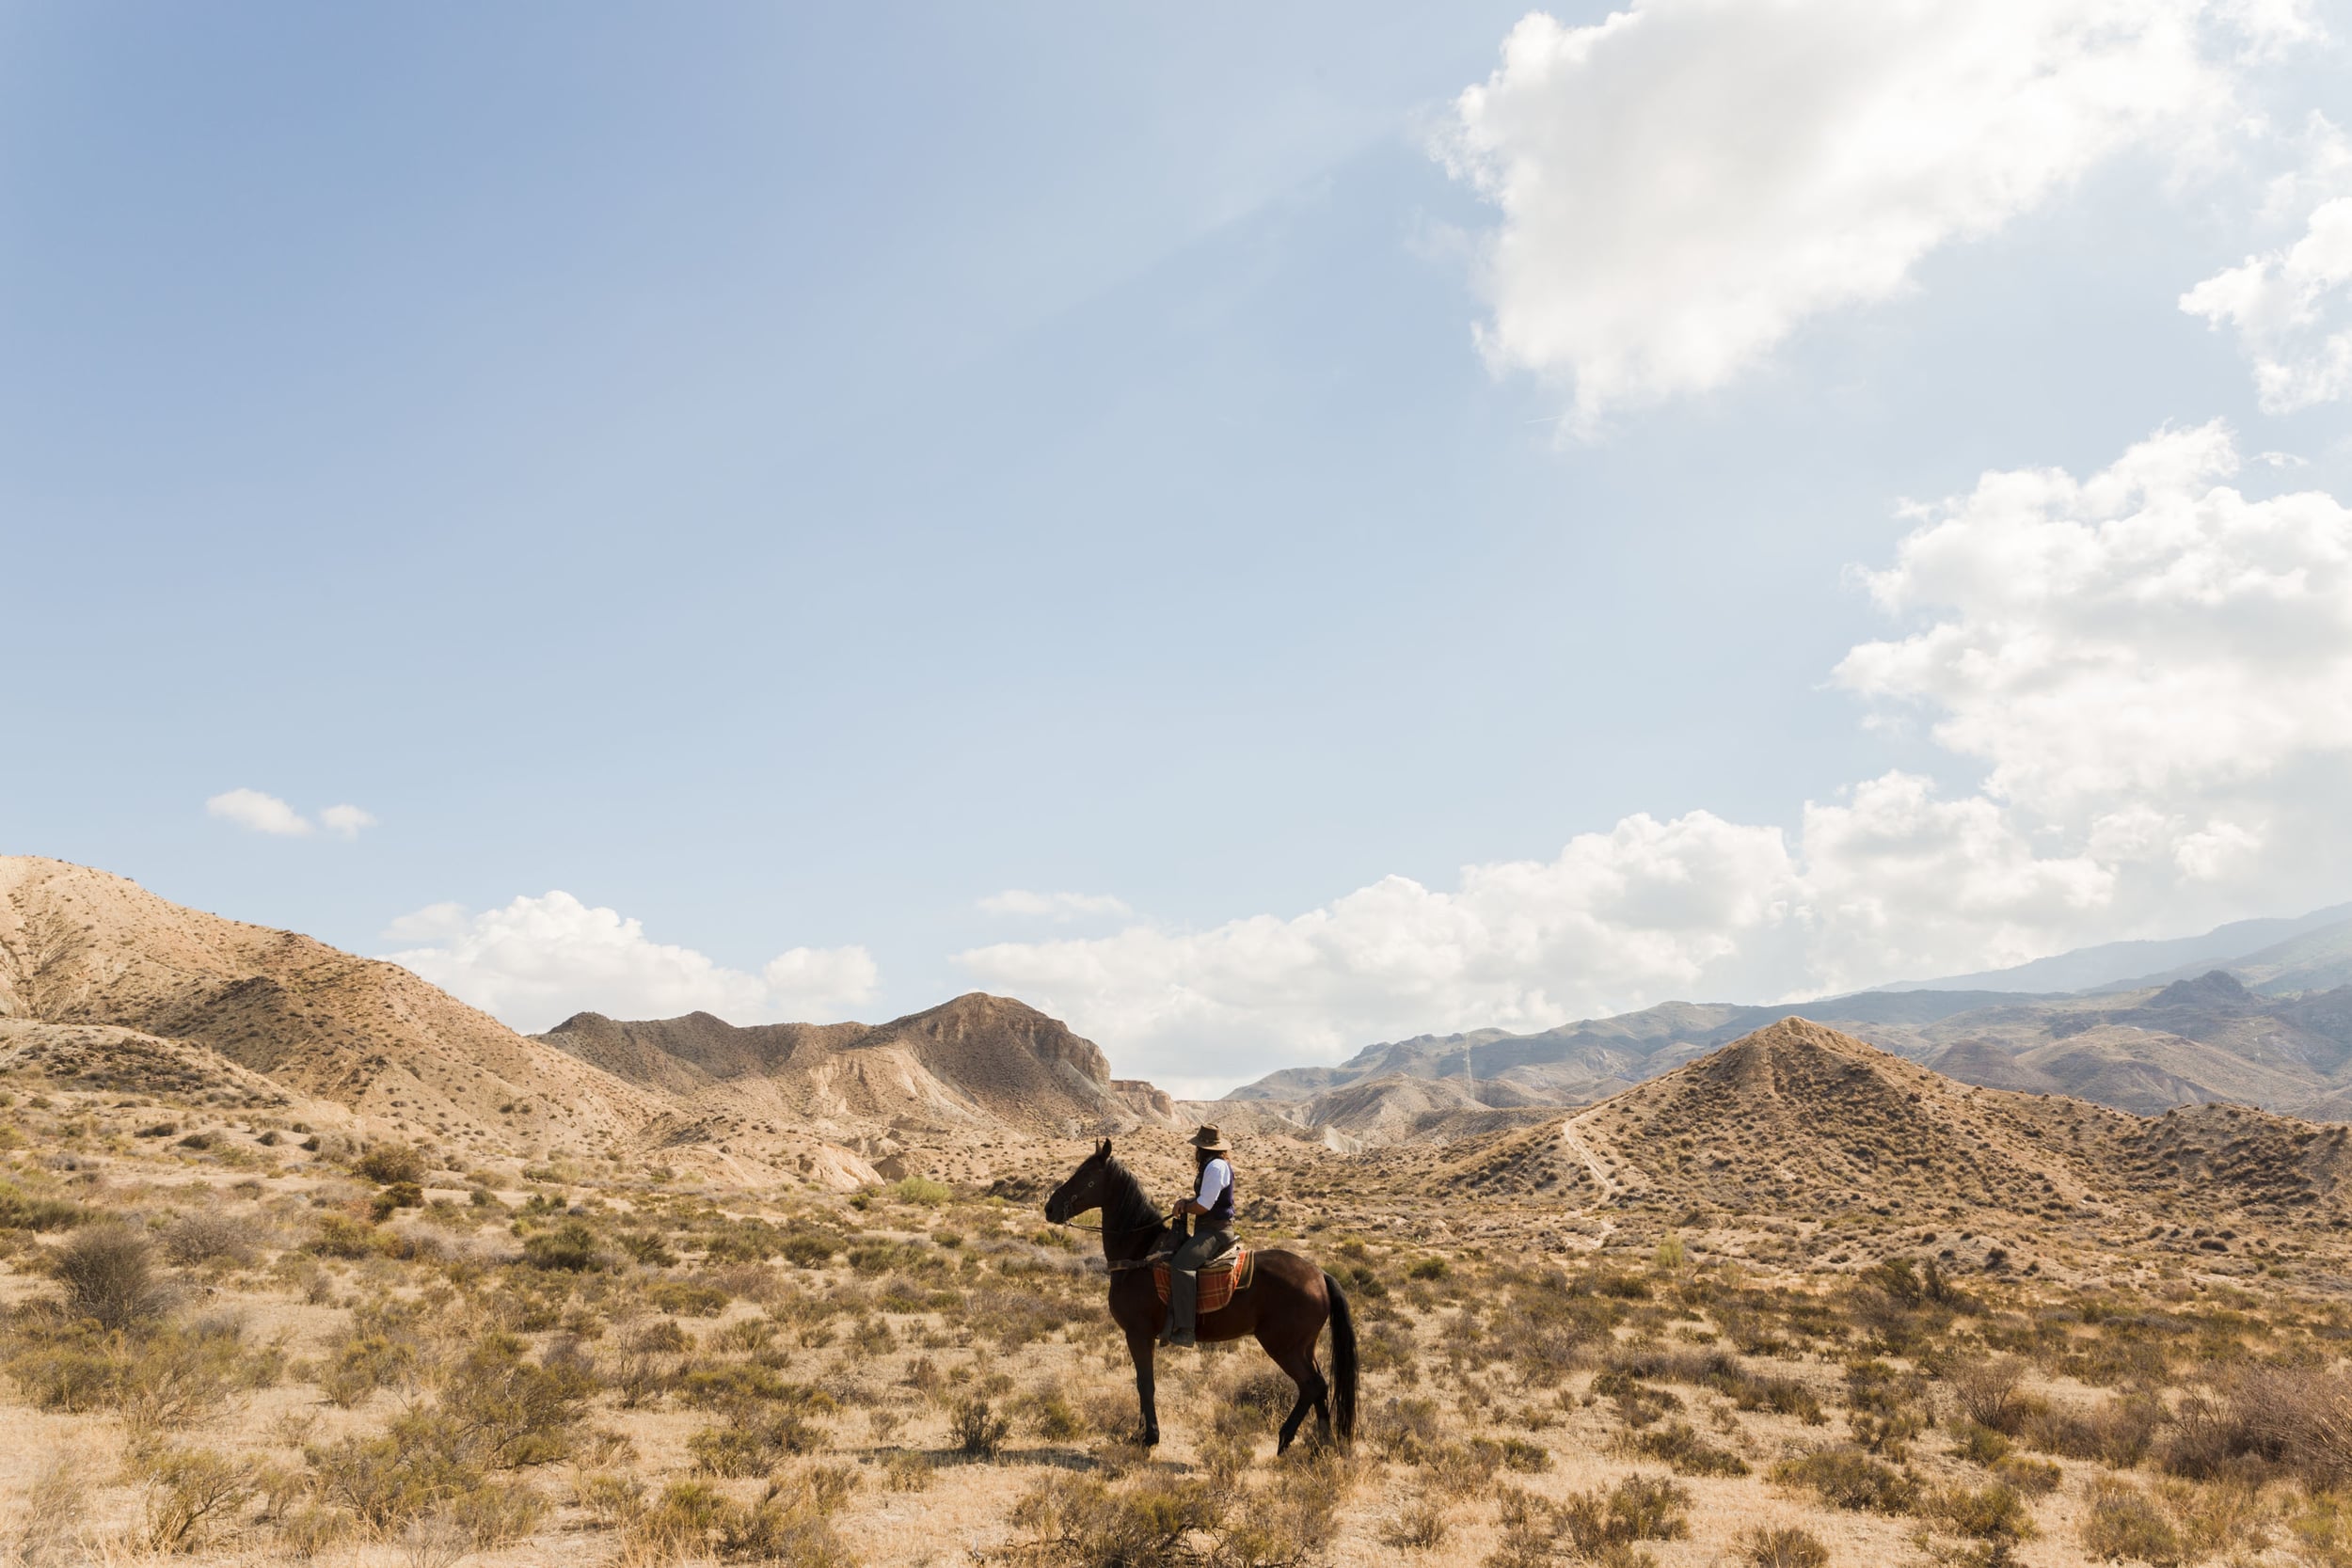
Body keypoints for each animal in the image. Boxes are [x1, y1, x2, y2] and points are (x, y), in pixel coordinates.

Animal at [1035, 1132, 1355, 1457]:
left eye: (1086, 1177)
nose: (1050, 1208)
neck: (1138, 1254)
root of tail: (1320, 1275)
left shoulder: (1138, 1333)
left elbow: (1145, 1383)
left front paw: (1150, 1437)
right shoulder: (1142, 1336)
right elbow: (1141, 1382)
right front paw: (1140, 1433)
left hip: (1283, 1346)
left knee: (1311, 1385)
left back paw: (1286, 1439)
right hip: (1304, 1347)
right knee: (1321, 1385)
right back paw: (1321, 1445)